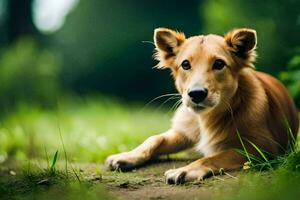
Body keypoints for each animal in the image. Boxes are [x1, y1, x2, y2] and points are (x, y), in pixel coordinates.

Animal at [105, 27, 298, 184]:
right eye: (185, 64)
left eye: (219, 63)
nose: (196, 94)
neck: (206, 118)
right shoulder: (183, 132)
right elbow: (154, 139)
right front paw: (127, 156)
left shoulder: (263, 147)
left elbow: (213, 157)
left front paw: (184, 170)